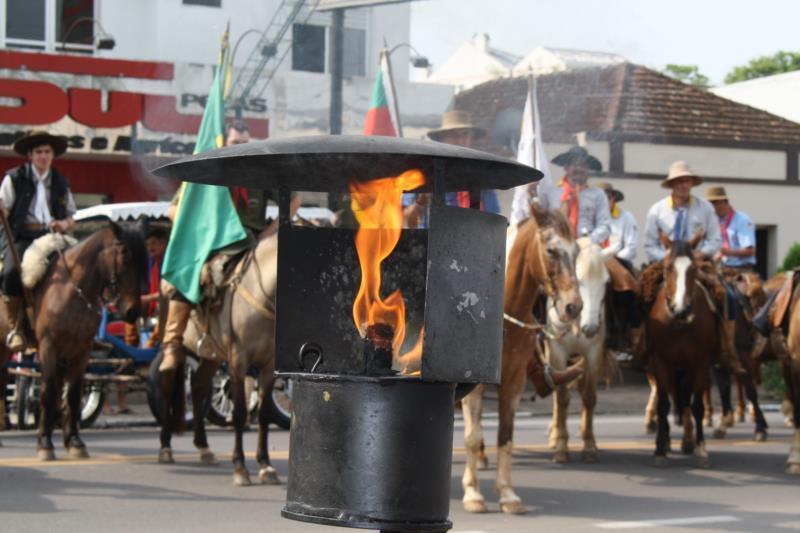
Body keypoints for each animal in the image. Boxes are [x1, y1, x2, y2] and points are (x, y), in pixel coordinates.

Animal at [0, 222, 145, 460]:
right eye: (125, 256)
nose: (133, 312)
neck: (72, 289)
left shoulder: (80, 350)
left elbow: (73, 394)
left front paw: (74, 442)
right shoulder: (48, 347)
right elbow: (49, 393)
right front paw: (45, 443)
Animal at [157, 229, 282, 486]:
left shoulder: (268, 366)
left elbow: (264, 414)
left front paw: (265, 465)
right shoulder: (238, 360)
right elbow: (240, 412)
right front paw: (240, 467)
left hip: (211, 356)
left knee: (197, 387)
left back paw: (204, 447)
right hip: (172, 341)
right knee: (168, 382)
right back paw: (165, 447)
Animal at [460, 204, 584, 512]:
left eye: (576, 250)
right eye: (551, 250)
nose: (573, 307)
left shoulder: (514, 381)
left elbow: (505, 436)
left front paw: (507, 494)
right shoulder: (474, 387)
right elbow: (472, 436)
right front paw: (473, 493)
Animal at [548, 237, 616, 462]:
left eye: (606, 282)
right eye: (579, 280)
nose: (591, 327)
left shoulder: (593, 353)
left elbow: (589, 396)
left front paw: (589, 445)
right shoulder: (558, 350)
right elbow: (561, 397)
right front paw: (561, 447)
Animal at [648, 235, 716, 468]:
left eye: (693, 268)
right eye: (668, 268)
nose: (681, 309)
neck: (678, 324)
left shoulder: (700, 363)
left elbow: (697, 406)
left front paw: (702, 449)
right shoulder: (660, 362)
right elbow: (663, 404)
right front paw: (659, 450)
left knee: (685, 400)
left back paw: (688, 441)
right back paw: (666, 440)